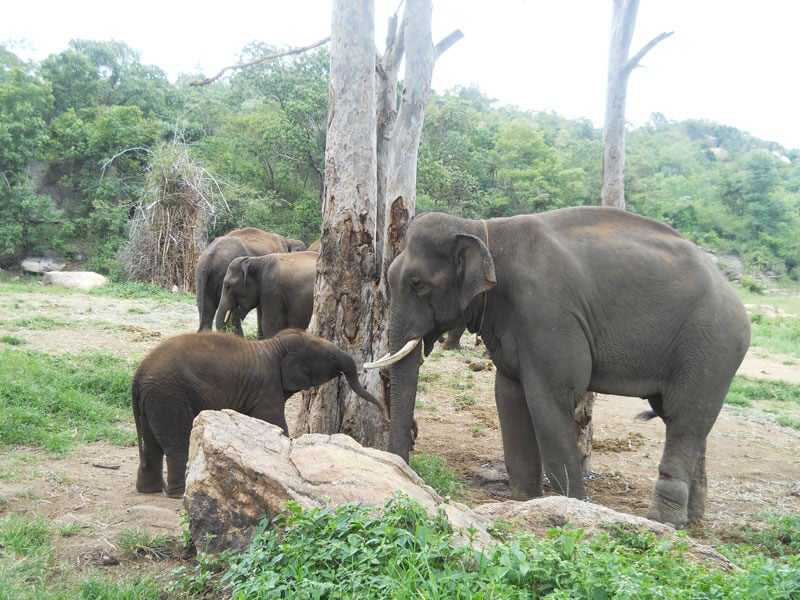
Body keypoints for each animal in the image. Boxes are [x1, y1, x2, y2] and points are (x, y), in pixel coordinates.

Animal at [132, 328, 388, 496]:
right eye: (331, 356)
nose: (383, 410)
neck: (275, 345)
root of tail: (138, 374)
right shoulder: (266, 387)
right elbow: (275, 424)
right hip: (169, 396)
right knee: (177, 443)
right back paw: (179, 493)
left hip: (154, 399)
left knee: (152, 445)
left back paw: (149, 490)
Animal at [368, 209, 752, 528]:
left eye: (418, 284)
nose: (409, 469)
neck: (483, 229)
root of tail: (732, 292)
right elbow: (509, 394)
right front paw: (525, 502)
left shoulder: (546, 312)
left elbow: (550, 398)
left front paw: (574, 507)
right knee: (689, 423)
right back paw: (693, 519)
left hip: (711, 345)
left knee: (684, 418)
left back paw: (664, 521)